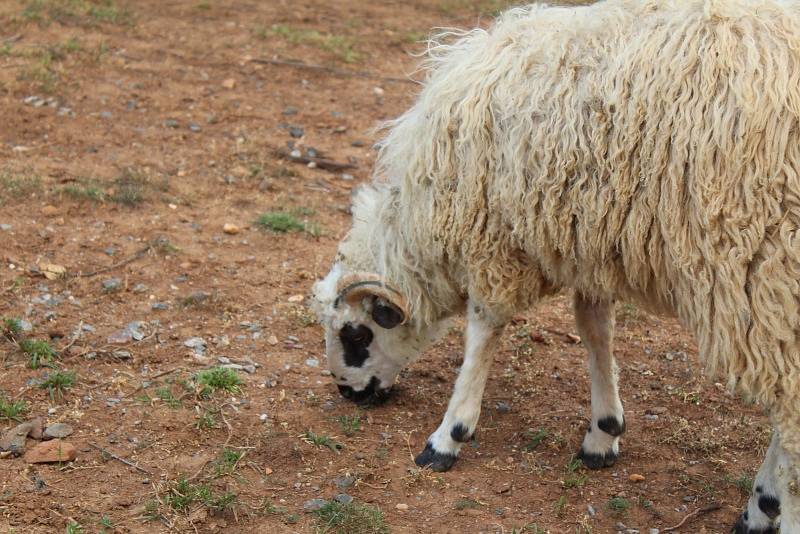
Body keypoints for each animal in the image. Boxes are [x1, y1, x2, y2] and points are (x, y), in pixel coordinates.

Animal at [310, 0, 800, 532]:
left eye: (355, 334)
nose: (347, 393)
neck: (426, 223)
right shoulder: (590, 238)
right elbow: (594, 328)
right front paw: (604, 433)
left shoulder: (495, 238)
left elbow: (484, 330)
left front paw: (448, 436)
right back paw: (761, 506)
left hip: (769, 264)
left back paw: (771, 503)